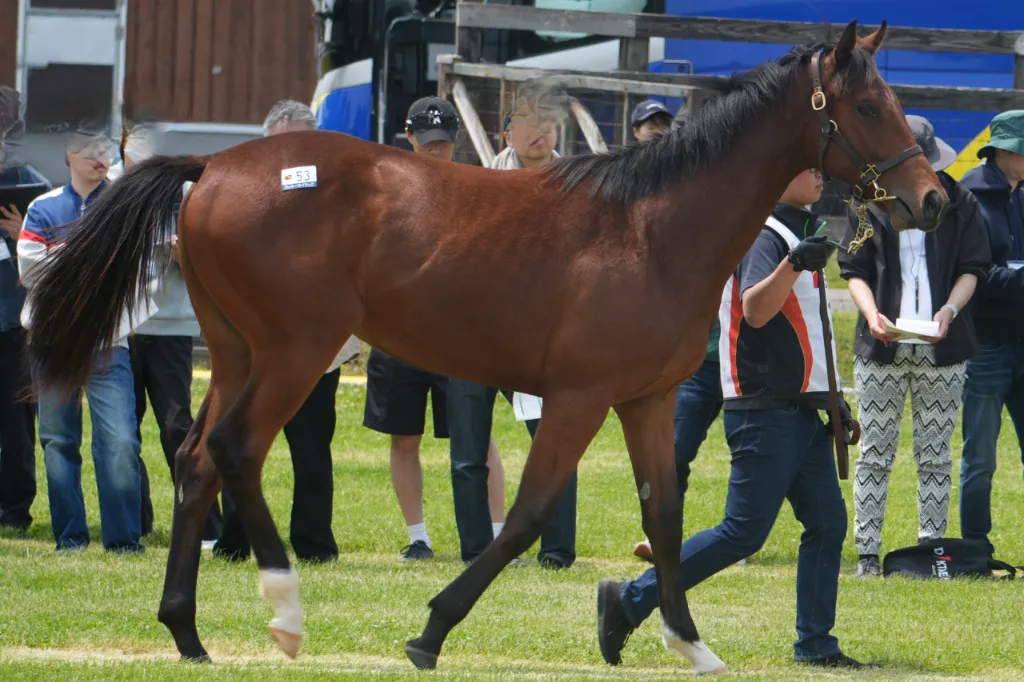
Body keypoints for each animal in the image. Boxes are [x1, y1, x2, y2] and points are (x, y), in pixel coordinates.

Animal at [24, 20, 945, 673]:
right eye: (869, 107)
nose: (932, 199)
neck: (651, 229)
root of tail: (212, 169)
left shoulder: (645, 400)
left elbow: (667, 516)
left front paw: (692, 646)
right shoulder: (578, 398)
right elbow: (527, 515)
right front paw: (431, 631)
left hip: (238, 351)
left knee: (192, 458)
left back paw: (186, 632)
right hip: (293, 353)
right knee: (236, 450)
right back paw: (285, 613)